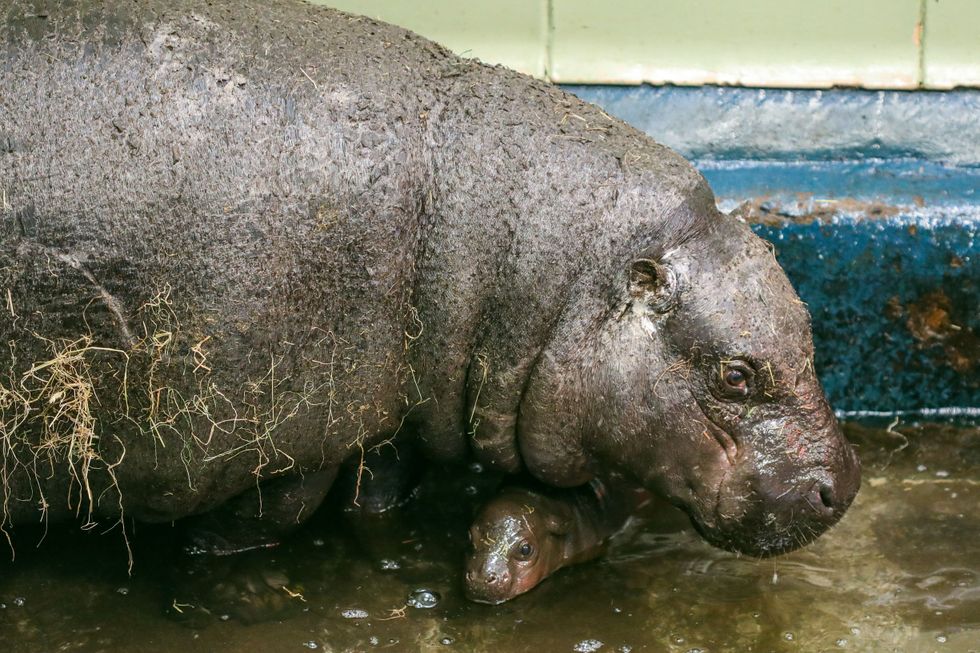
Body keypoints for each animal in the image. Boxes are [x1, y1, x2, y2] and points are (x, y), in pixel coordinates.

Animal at [0, 0, 859, 559]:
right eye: (735, 373)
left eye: (808, 327)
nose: (844, 484)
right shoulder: (294, 423)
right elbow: (277, 510)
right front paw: (212, 555)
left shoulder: (390, 413)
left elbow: (374, 491)